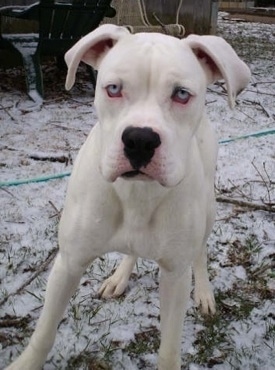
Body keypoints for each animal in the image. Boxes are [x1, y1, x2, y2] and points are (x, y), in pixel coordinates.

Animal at [7, 24, 252, 368]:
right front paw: (26, 362)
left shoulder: (175, 276)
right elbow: (44, 331)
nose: (140, 139)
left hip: (209, 211)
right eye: (113, 88)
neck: (137, 193)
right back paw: (119, 277)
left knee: (201, 252)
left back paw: (203, 291)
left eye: (181, 94)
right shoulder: (68, 263)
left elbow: (169, 348)